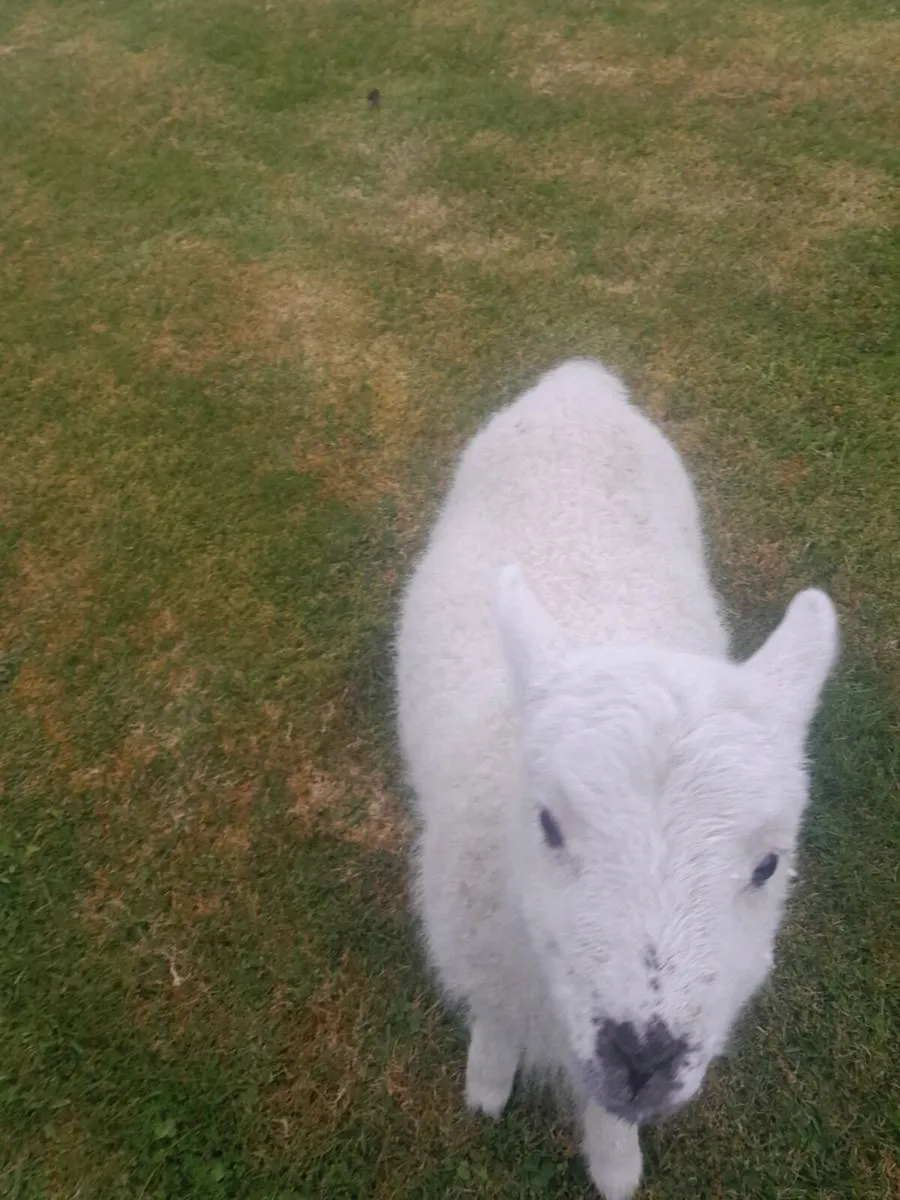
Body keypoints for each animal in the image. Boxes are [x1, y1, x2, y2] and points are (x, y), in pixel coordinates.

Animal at [394, 359, 838, 1199]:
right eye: (547, 823)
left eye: (769, 865)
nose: (644, 1057)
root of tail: (581, 382)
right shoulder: (478, 949)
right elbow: (494, 1021)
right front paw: (487, 1084)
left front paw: (616, 1166)